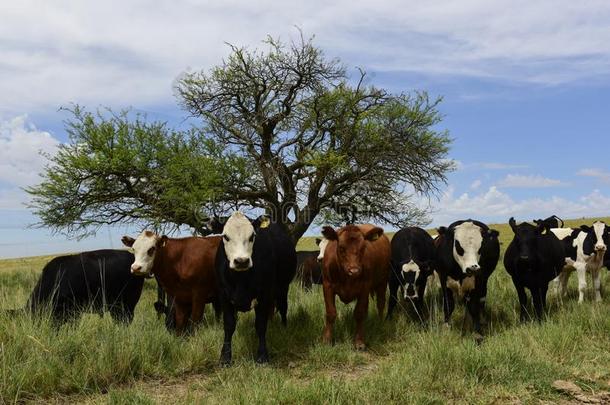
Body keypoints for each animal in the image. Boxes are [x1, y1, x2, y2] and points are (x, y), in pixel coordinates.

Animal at [215, 211, 296, 362]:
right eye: (225, 236)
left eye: (252, 236)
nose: (241, 261)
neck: (241, 280)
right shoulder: (224, 295)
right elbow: (229, 325)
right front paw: (225, 357)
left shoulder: (264, 294)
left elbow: (260, 324)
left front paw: (262, 355)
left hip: (283, 288)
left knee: (283, 308)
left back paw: (284, 328)